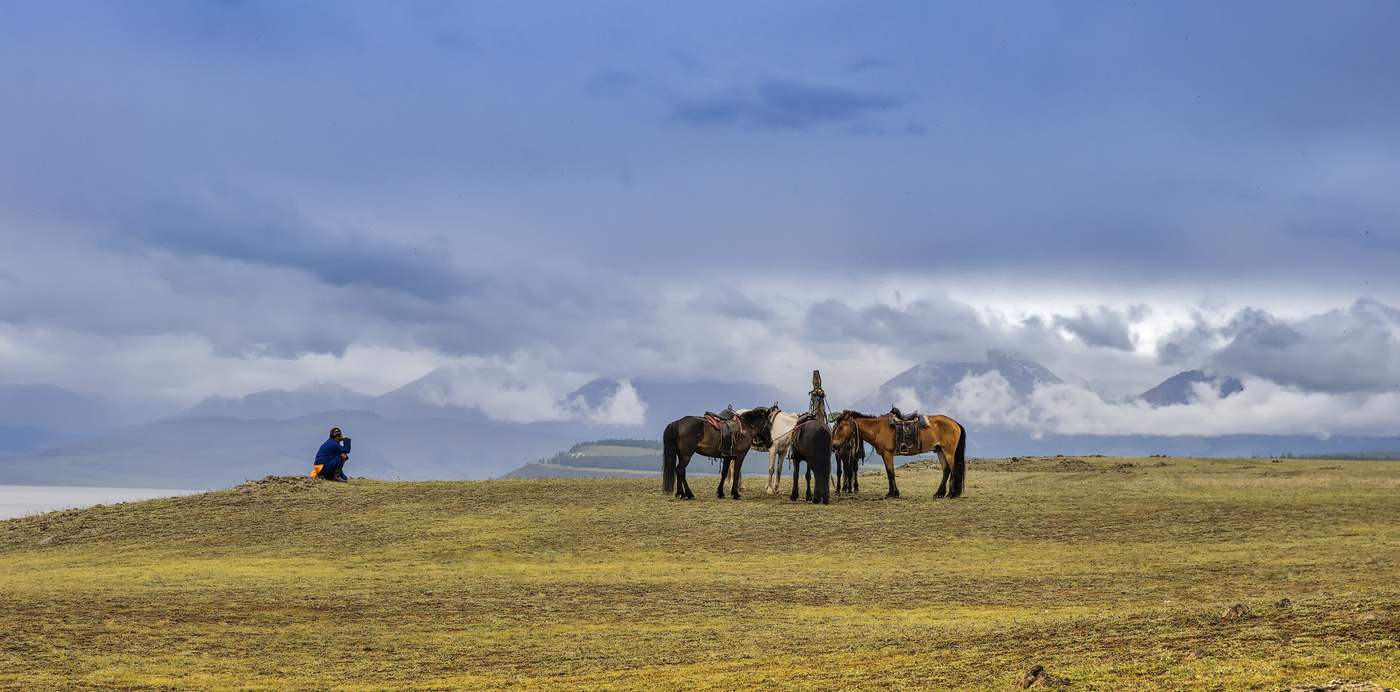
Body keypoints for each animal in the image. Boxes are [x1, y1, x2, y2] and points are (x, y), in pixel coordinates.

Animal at [823, 409, 968, 498]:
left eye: (841, 427)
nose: (834, 445)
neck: (877, 429)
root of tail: (955, 423)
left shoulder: (887, 454)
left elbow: (890, 473)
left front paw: (893, 494)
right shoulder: (885, 455)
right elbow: (889, 473)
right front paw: (892, 493)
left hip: (948, 451)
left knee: (953, 469)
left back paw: (951, 494)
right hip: (940, 450)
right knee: (946, 470)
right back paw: (939, 493)